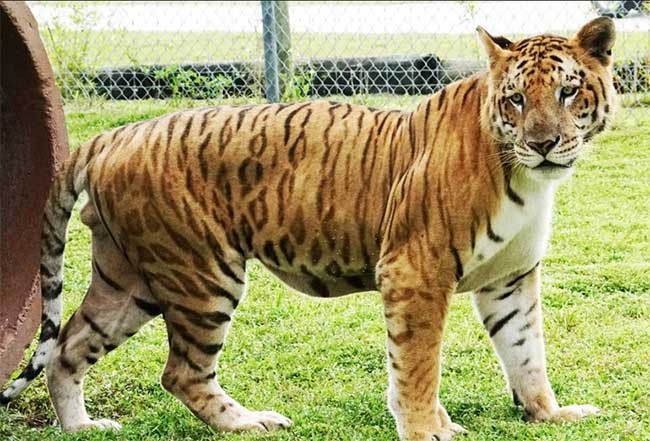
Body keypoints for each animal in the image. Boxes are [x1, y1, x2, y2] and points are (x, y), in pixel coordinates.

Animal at [1, 17, 616, 440]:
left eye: (567, 91)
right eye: (516, 99)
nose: (542, 143)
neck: (529, 179)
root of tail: (117, 134)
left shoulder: (511, 279)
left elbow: (527, 353)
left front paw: (551, 413)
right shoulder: (416, 271)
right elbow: (417, 365)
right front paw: (427, 429)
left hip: (130, 280)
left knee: (68, 348)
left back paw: (83, 427)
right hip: (202, 275)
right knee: (180, 373)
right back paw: (249, 422)